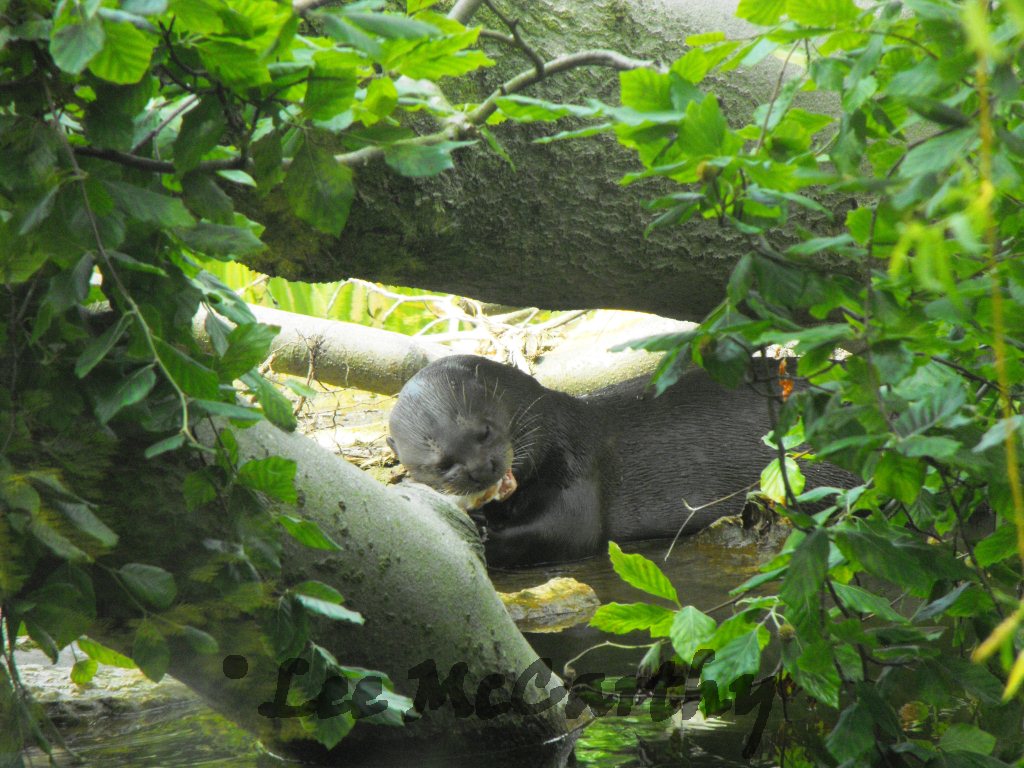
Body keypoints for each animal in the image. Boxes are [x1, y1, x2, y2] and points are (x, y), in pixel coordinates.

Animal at [387, 354, 836, 568]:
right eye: (441, 464)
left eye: (483, 430)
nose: (483, 470)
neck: (557, 428)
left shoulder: (578, 467)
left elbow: (569, 532)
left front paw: (485, 533)